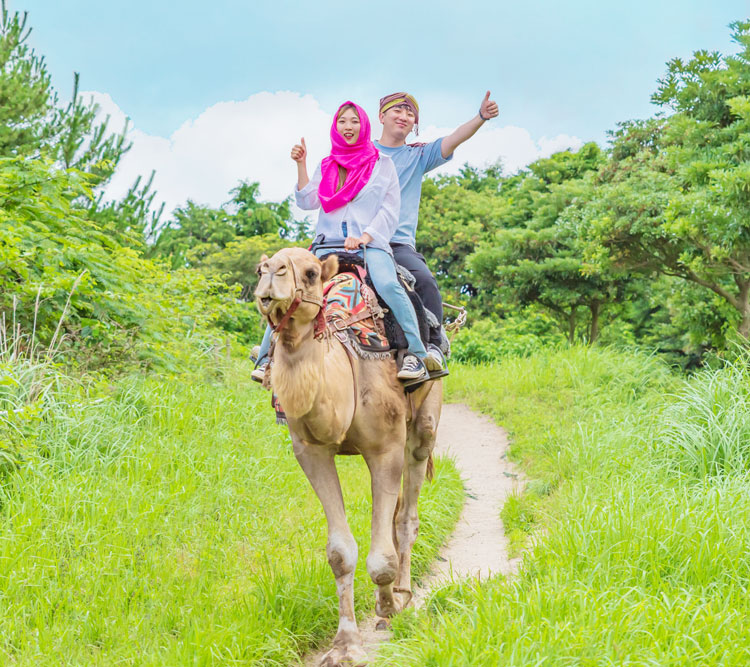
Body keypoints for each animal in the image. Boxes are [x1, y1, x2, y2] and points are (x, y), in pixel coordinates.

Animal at [256, 248, 444, 664]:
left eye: (310, 273)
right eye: (261, 268)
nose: (270, 280)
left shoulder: (385, 448)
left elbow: (382, 557)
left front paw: (388, 608)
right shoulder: (311, 452)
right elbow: (340, 553)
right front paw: (344, 644)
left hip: (422, 423)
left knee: (407, 513)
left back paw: (403, 593)